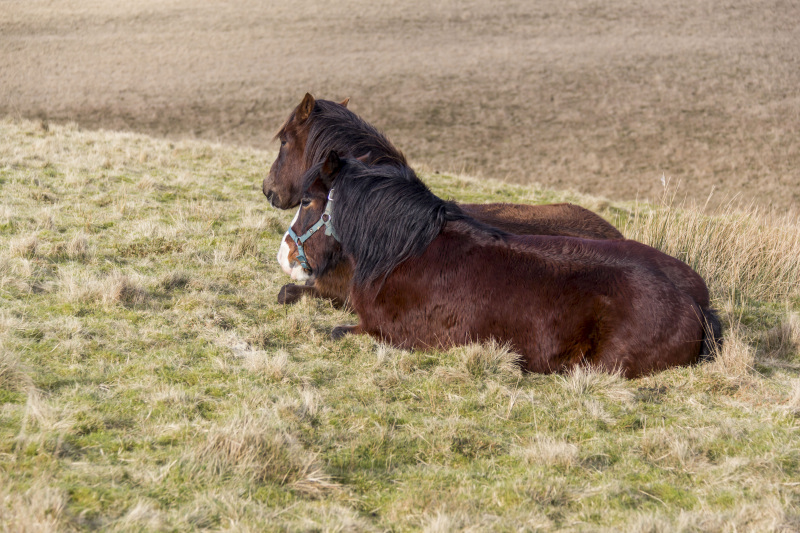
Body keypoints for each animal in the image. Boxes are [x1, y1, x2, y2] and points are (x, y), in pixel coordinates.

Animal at [282, 151, 724, 378]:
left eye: (306, 201)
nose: (287, 256)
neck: (405, 253)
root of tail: (695, 304)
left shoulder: (389, 334)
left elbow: (335, 331)